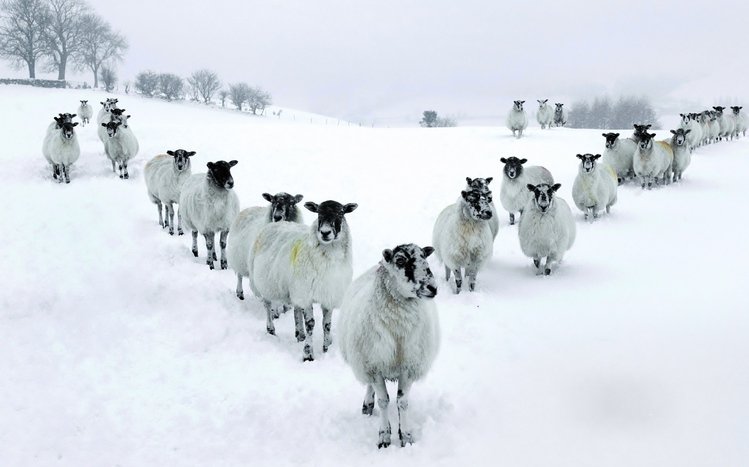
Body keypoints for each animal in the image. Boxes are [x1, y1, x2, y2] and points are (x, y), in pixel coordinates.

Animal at [249, 200, 357, 361]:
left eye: (341, 213)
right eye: (318, 213)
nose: (325, 232)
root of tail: (274, 224)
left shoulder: (328, 294)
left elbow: (326, 324)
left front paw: (326, 347)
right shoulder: (307, 295)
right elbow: (311, 324)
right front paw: (308, 353)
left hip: (295, 288)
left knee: (296, 309)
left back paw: (299, 334)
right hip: (265, 283)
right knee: (267, 306)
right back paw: (271, 329)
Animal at [338, 243, 439, 448]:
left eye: (425, 257)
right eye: (400, 260)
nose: (433, 287)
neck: (398, 329)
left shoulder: (408, 367)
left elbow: (402, 403)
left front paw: (405, 436)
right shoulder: (374, 365)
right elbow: (384, 401)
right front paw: (384, 436)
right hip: (365, 360)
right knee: (370, 387)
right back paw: (368, 405)